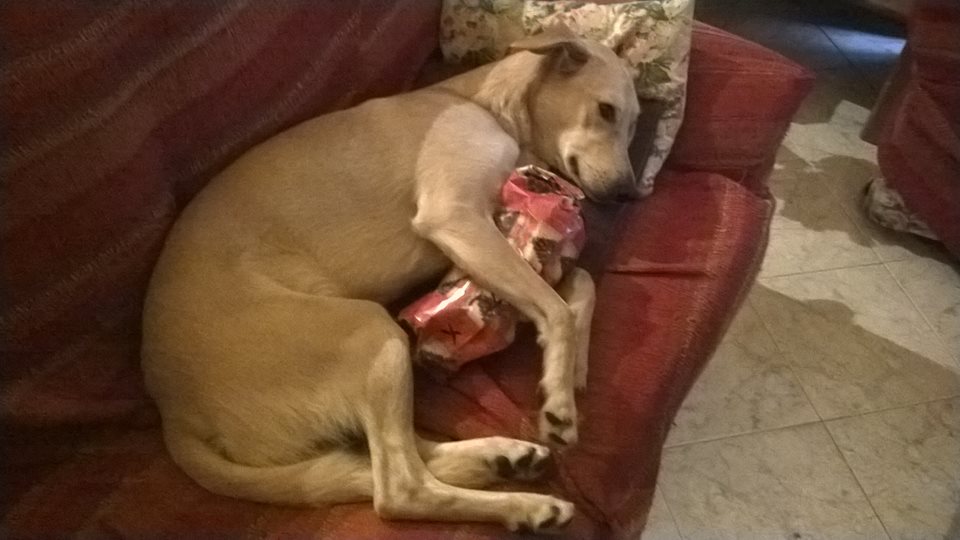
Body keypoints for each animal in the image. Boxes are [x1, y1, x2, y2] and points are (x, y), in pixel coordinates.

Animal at [141, 25, 639, 533]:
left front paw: (576, 366)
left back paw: (502, 459)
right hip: (371, 334)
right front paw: (560, 399)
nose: (629, 194)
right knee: (401, 489)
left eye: (636, 123)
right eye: (606, 110)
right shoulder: (457, 218)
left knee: (395, 455)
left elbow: (580, 284)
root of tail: (173, 412)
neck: (483, 104)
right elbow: (556, 308)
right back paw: (523, 503)